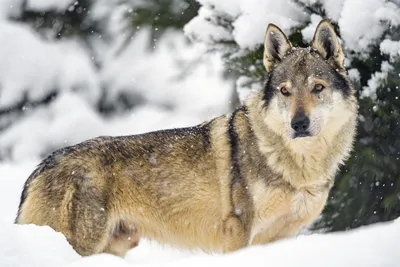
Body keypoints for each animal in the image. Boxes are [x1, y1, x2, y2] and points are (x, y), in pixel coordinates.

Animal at [15, 19, 358, 258]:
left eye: (317, 88)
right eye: (285, 91)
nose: (298, 124)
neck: (299, 165)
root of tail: (40, 168)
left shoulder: (282, 238)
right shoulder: (238, 230)